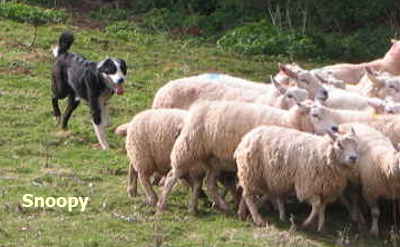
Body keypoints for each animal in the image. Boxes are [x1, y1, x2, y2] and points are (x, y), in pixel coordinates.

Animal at [156, 100, 338, 212]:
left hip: (214, 160)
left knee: (210, 182)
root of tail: (196, 108)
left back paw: (223, 206)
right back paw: (161, 203)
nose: (335, 128)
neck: (290, 122)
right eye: (315, 114)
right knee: (172, 175)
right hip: (187, 148)